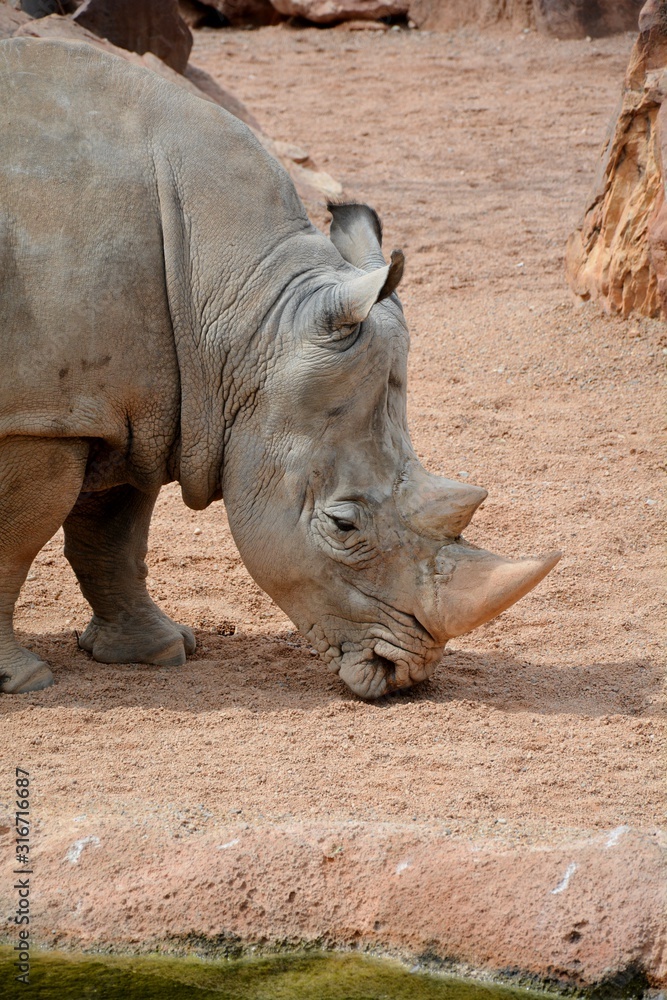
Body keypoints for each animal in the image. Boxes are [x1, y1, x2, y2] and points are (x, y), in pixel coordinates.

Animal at [0, 37, 560, 698]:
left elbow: (115, 533)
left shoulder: (128, 407)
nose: (402, 676)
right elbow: (15, 540)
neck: (243, 311)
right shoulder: (41, 417)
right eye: (343, 526)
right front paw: (25, 682)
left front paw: (157, 652)